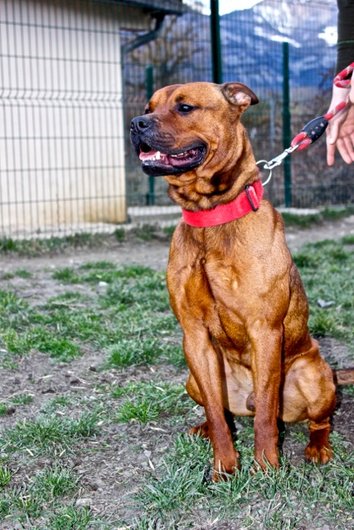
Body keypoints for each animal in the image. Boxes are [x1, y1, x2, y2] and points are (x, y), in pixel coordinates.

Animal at [130, 81, 338, 478]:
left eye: (185, 107)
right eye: (148, 107)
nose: (135, 124)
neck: (211, 218)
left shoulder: (265, 330)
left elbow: (266, 417)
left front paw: (267, 465)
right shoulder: (194, 336)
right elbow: (216, 412)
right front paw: (225, 467)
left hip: (316, 377)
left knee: (316, 420)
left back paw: (318, 448)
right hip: (193, 377)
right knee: (223, 412)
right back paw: (202, 428)